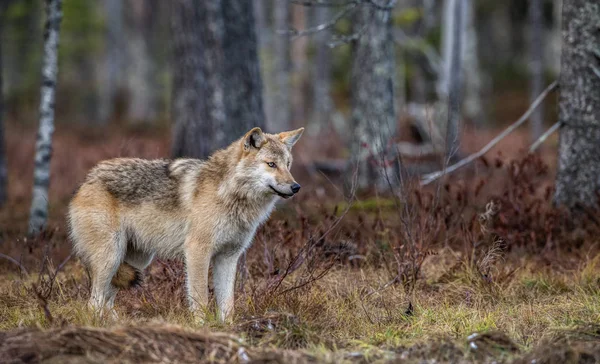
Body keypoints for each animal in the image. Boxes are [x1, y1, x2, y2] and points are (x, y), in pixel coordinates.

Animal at [69, 127, 304, 322]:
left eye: (288, 165)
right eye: (271, 164)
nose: (296, 187)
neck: (230, 194)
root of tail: (87, 179)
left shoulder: (229, 257)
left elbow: (227, 304)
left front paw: (227, 329)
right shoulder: (197, 251)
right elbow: (201, 298)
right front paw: (202, 328)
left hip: (136, 261)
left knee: (106, 301)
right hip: (111, 257)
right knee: (93, 302)